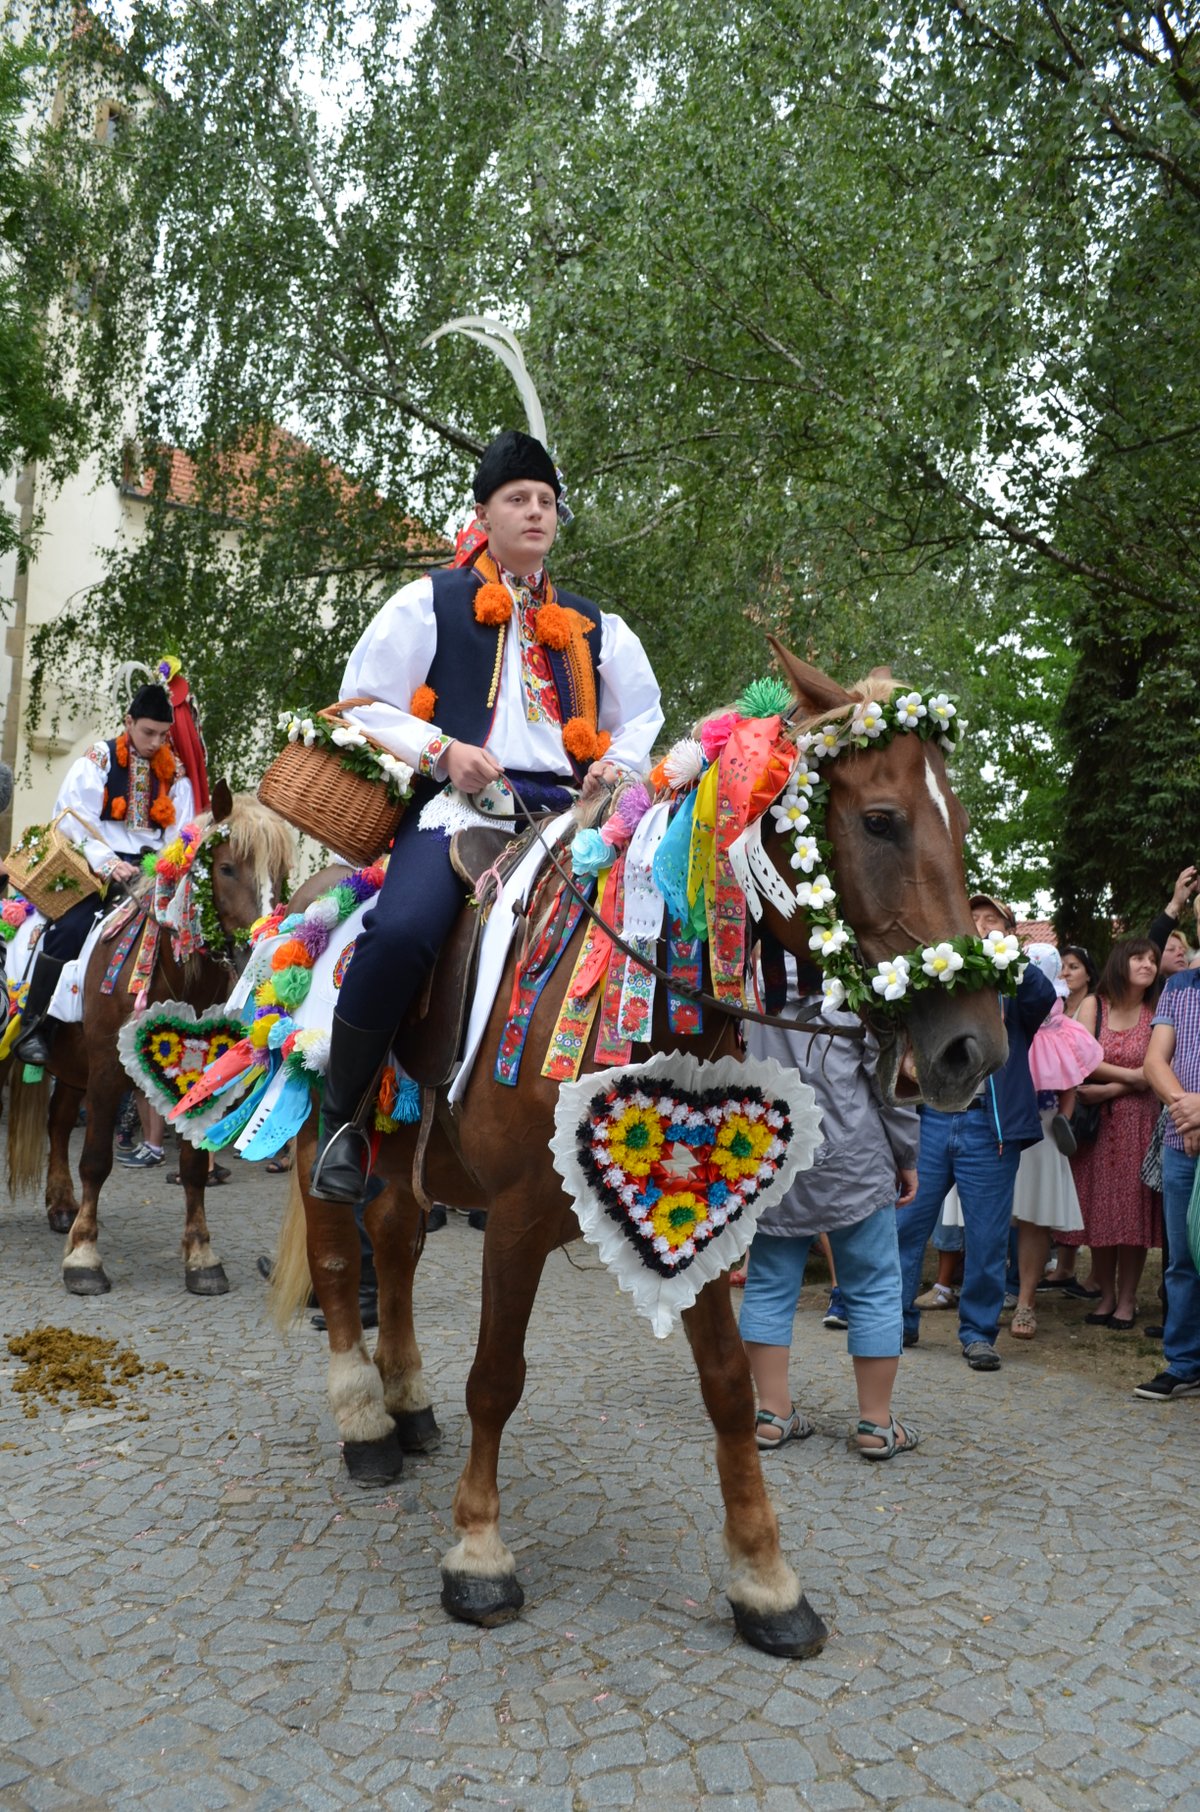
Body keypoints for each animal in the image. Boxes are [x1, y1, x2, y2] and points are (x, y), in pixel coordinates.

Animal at [7, 786, 295, 1297]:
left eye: (280, 875)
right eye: (226, 868)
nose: (258, 954)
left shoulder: (199, 1079)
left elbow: (195, 1167)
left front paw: (201, 1256)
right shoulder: (107, 1070)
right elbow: (96, 1161)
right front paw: (84, 1258)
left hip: (71, 1066)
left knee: (57, 1124)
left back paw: (60, 1206)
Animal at [268, 652, 1007, 1659]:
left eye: (960, 824)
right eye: (881, 820)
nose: (975, 1049)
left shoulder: (706, 1226)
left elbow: (731, 1386)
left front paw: (766, 1581)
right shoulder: (514, 1219)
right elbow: (496, 1379)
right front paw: (479, 1556)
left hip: (410, 1154)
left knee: (396, 1248)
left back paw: (407, 1402)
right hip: (325, 1132)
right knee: (344, 1261)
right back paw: (365, 1421)